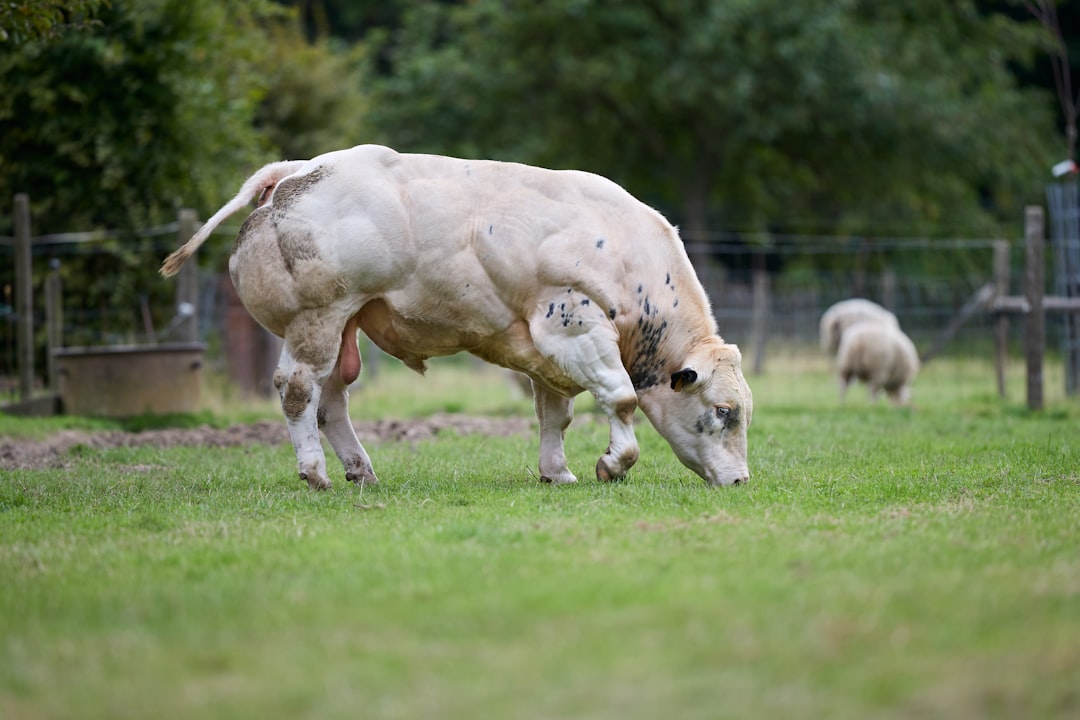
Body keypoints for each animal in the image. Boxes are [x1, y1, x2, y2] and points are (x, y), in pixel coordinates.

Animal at [161, 145, 752, 488]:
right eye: (723, 411)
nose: (742, 480)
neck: (626, 256)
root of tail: (296, 171)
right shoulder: (573, 324)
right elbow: (622, 398)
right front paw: (612, 464)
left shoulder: (547, 354)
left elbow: (555, 416)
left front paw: (557, 472)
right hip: (317, 317)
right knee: (297, 389)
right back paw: (315, 472)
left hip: (345, 326)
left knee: (331, 400)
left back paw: (360, 469)